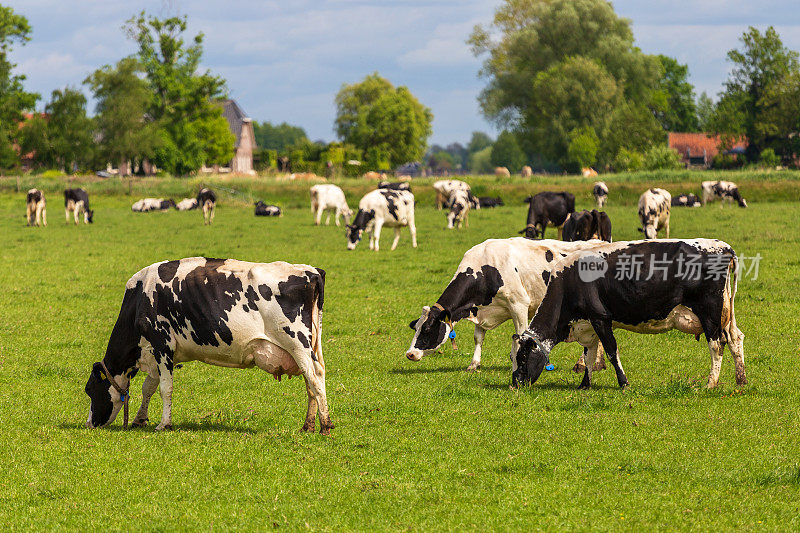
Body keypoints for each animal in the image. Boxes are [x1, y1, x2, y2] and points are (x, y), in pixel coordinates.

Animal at [81, 256, 332, 432]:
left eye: (89, 389)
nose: (89, 423)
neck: (140, 298)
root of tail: (310, 271)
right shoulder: (156, 353)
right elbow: (148, 387)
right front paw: (139, 419)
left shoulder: (162, 344)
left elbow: (165, 388)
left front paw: (164, 424)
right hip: (310, 346)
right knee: (311, 381)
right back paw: (308, 426)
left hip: (297, 343)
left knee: (315, 377)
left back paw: (325, 425)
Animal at [406, 239, 608, 372]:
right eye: (416, 328)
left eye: (427, 329)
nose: (410, 354)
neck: (485, 268)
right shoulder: (481, 310)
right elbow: (478, 338)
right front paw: (474, 364)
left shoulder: (519, 304)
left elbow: (520, 335)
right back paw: (597, 364)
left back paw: (584, 364)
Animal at [510, 239, 748, 388]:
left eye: (523, 358)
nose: (515, 384)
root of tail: (722, 246)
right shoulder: (587, 325)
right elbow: (588, 356)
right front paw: (584, 384)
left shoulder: (600, 318)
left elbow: (611, 352)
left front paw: (623, 383)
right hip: (725, 313)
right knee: (735, 339)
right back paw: (741, 380)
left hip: (710, 312)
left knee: (717, 345)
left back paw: (710, 384)